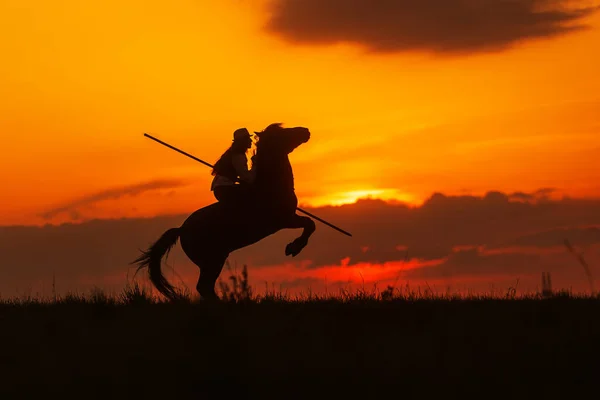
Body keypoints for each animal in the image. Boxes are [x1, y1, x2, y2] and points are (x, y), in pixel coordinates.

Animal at [132, 123, 316, 302]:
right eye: (282, 133)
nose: (305, 131)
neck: (270, 185)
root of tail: (182, 229)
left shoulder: (289, 218)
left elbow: (309, 224)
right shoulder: (285, 219)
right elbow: (310, 224)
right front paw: (293, 248)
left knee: (206, 287)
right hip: (212, 260)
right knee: (204, 287)